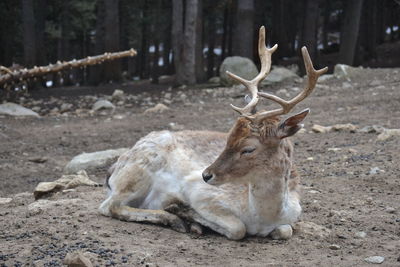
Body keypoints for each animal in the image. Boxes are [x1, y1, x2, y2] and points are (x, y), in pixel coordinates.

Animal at [98, 26, 326, 241]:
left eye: (248, 149)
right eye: (228, 138)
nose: (206, 175)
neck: (262, 217)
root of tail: (113, 169)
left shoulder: (292, 216)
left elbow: (286, 230)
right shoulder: (200, 192)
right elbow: (238, 229)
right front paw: (183, 211)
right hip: (138, 172)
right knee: (109, 206)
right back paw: (175, 219)